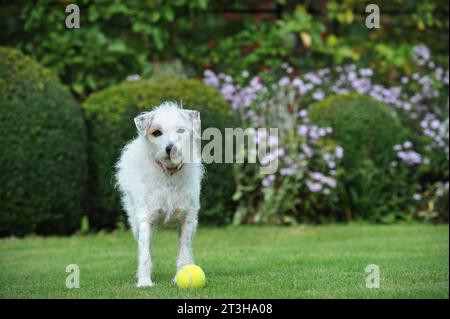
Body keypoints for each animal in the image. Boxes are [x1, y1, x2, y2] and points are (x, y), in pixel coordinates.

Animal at [115, 102, 203, 288]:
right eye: (156, 133)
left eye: (181, 131)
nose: (170, 148)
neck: (168, 174)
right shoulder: (145, 219)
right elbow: (144, 254)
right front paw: (144, 282)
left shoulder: (187, 220)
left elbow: (184, 250)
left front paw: (181, 275)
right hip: (135, 222)